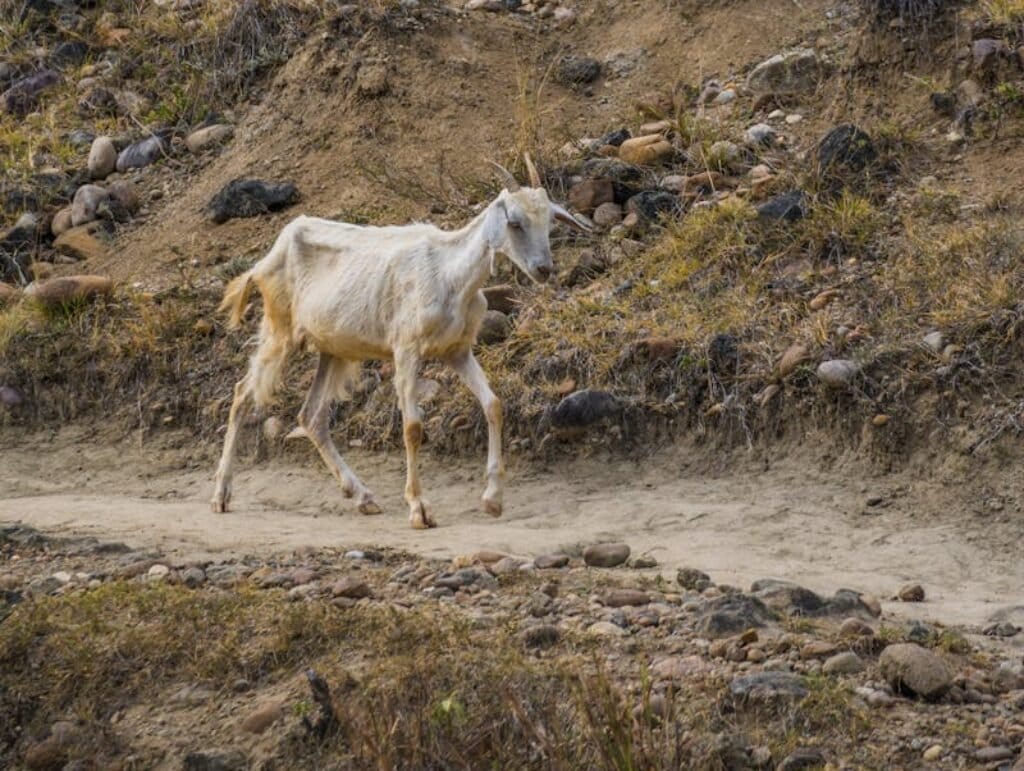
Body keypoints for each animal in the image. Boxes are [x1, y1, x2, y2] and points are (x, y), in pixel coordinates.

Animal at [211, 157, 590, 529]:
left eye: (549, 222)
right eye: (514, 222)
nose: (544, 269)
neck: (450, 275)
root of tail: (267, 257)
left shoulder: (457, 351)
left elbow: (493, 405)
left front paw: (492, 499)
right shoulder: (406, 349)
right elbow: (412, 426)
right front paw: (419, 509)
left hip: (333, 349)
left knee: (311, 416)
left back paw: (363, 496)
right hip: (281, 329)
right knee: (242, 393)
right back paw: (221, 496)